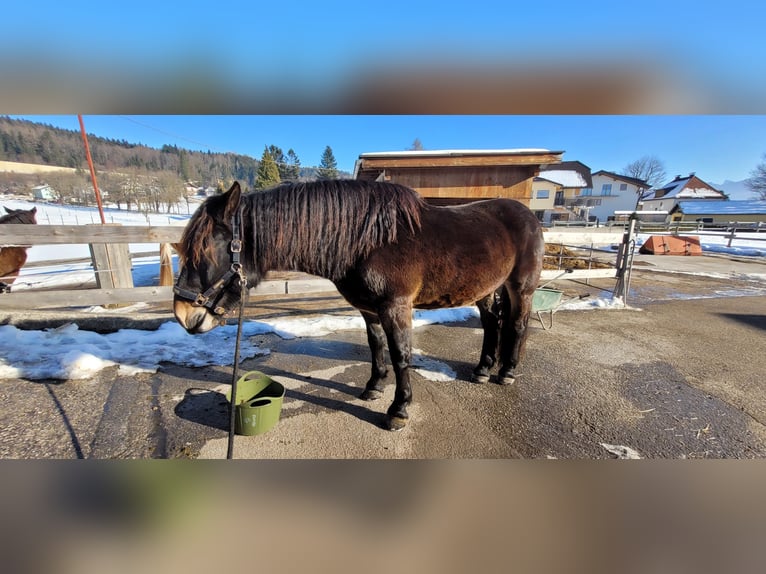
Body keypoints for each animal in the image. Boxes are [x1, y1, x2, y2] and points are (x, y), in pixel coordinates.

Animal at [173, 180, 544, 431]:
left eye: (205, 251)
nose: (183, 314)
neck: (369, 241)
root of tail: (528, 215)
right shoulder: (369, 309)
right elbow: (376, 346)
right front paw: (373, 388)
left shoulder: (396, 307)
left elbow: (400, 355)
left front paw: (399, 410)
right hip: (485, 290)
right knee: (492, 324)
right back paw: (483, 369)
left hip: (520, 288)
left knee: (517, 325)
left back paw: (506, 372)